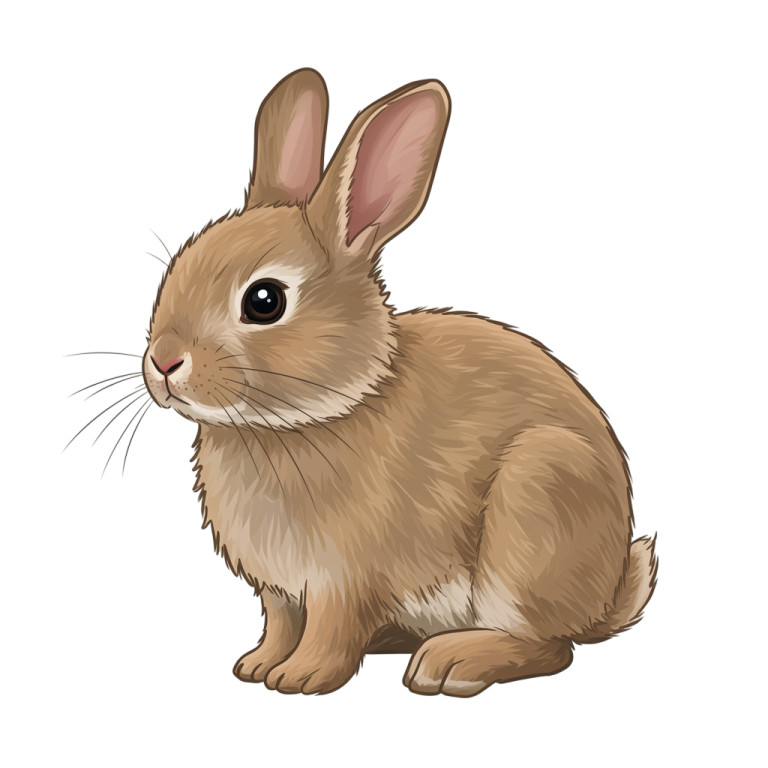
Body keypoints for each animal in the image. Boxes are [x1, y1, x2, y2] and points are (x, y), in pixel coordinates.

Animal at [85, 67, 659, 697]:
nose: (164, 362)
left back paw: (451, 664)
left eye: (264, 301)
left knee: (550, 645)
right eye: (174, 272)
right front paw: (257, 666)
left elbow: (330, 631)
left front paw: (302, 678)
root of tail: (610, 595)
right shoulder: (281, 591)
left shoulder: (345, 579)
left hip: (536, 500)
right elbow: (280, 624)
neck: (302, 419)